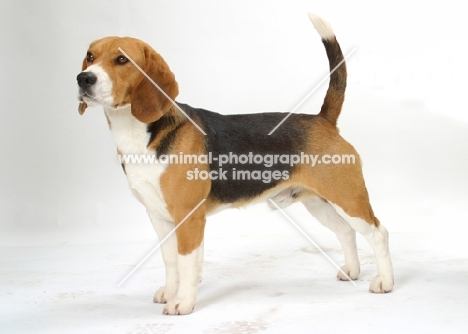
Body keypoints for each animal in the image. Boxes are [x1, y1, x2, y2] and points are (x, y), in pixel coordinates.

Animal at [76, 13, 392, 316]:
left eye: (121, 60)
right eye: (90, 56)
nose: (83, 78)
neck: (139, 133)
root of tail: (323, 119)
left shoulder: (188, 217)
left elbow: (187, 262)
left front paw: (183, 302)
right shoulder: (159, 217)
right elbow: (171, 261)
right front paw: (171, 291)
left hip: (348, 197)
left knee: (378, 233)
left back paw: (385, 281)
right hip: (317, 201)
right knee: (346, 231)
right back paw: (352, 271)